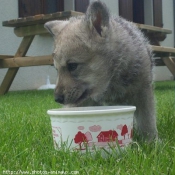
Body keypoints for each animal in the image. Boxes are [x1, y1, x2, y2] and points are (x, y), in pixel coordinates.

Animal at [44, 0, 158, 139]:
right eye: (57, 69)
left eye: (72, 66)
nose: (57, 99)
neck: (111, 83)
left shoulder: (143, 91)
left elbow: (147, 120)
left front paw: (151, 141)